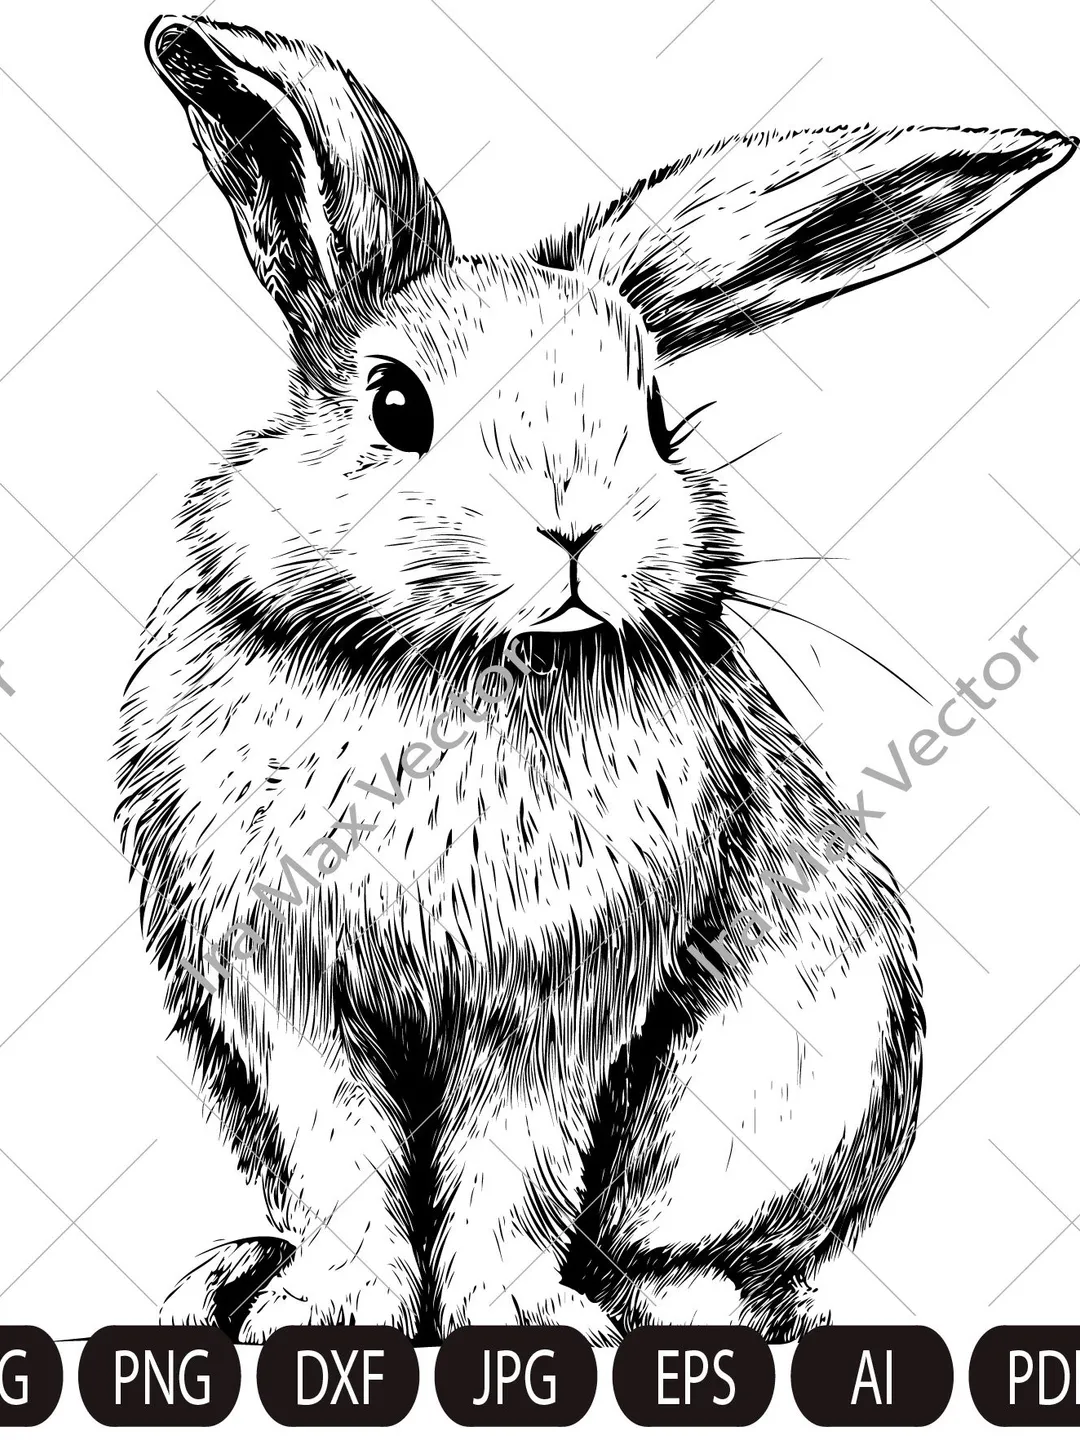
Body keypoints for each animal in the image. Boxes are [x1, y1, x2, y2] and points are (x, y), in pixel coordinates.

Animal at [117, 12, 1075, 1345]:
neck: (468, 667)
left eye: (660, 416)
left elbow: (512, 1163)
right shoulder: (277, 986)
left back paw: (680, 1311)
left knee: (708, 1255)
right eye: (396, 404)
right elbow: (344, 1159)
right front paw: (336, 1313)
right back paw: (233, 1276)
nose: (578, 530)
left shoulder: (563, 1002)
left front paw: (519, 1323)